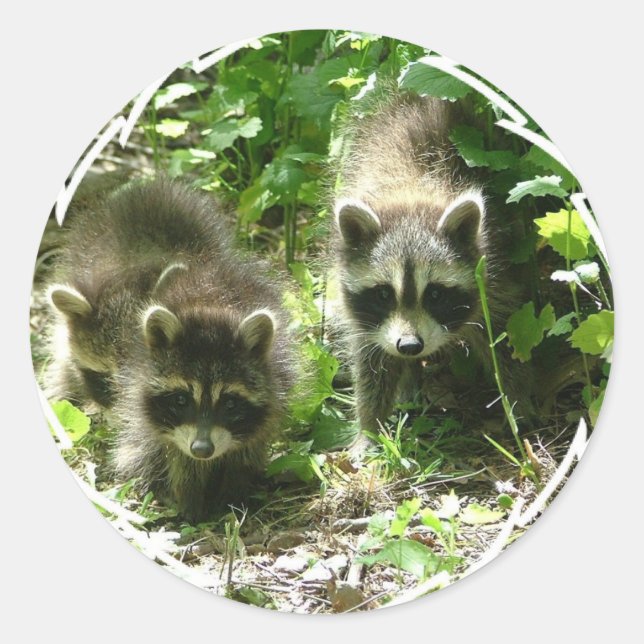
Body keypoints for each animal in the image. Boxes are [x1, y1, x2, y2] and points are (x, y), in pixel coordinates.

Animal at [332, 93, 526, 435]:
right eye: (384, 294)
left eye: (434, 294)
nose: (410, 346)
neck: (411, 192)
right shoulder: (364, 312)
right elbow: (372, 361)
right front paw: (370, 428)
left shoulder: (492, 272)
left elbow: (503, 336)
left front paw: (517, 406)